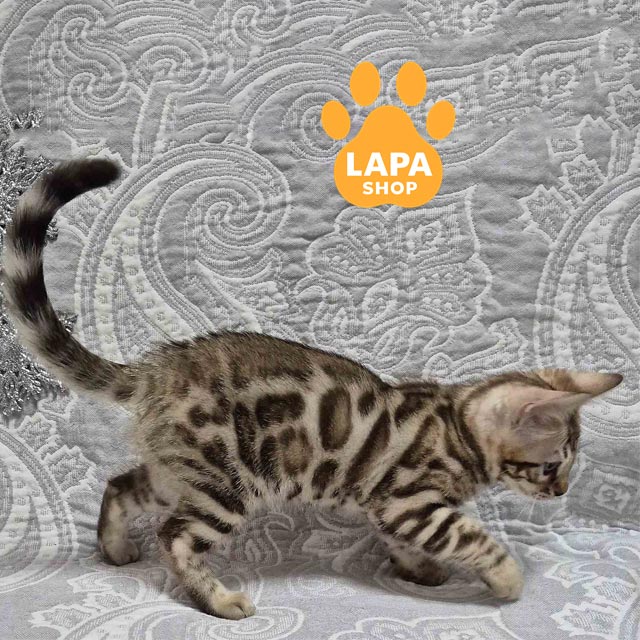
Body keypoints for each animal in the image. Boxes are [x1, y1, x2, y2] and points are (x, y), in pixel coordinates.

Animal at [2, 158, 622, 620]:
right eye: (551, 465)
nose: (562, 491)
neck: (456, 424)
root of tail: (159, 368)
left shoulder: (388, 508)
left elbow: (401, 541)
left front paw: (418, 569)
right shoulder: (413, 501)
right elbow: (473, 537)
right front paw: (507, 578)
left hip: (178, 472)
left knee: (121, 485)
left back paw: (115, 548)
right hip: (228, 484)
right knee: (175, 537)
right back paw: (219, 601)